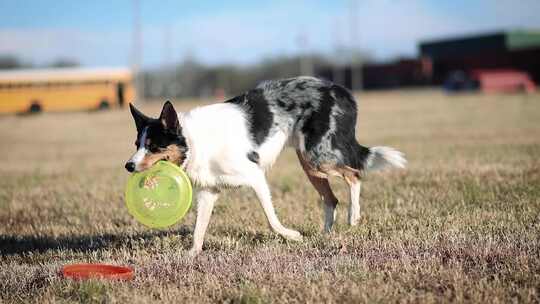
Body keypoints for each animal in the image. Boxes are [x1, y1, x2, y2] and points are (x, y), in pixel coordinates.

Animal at [125, 76, 404, 256]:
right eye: (137, 143)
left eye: (153, 146)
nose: (128, 165)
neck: (194, 141)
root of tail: (341, 90)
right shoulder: (208, 191)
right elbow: (198, 229)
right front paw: (192, 255)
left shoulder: (255, 176)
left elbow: (271, 220)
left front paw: (292, 236)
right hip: (310, 163)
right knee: (331, 198)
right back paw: (325, 235)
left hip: (319, 156)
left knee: (354, 175)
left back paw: (353, 216)